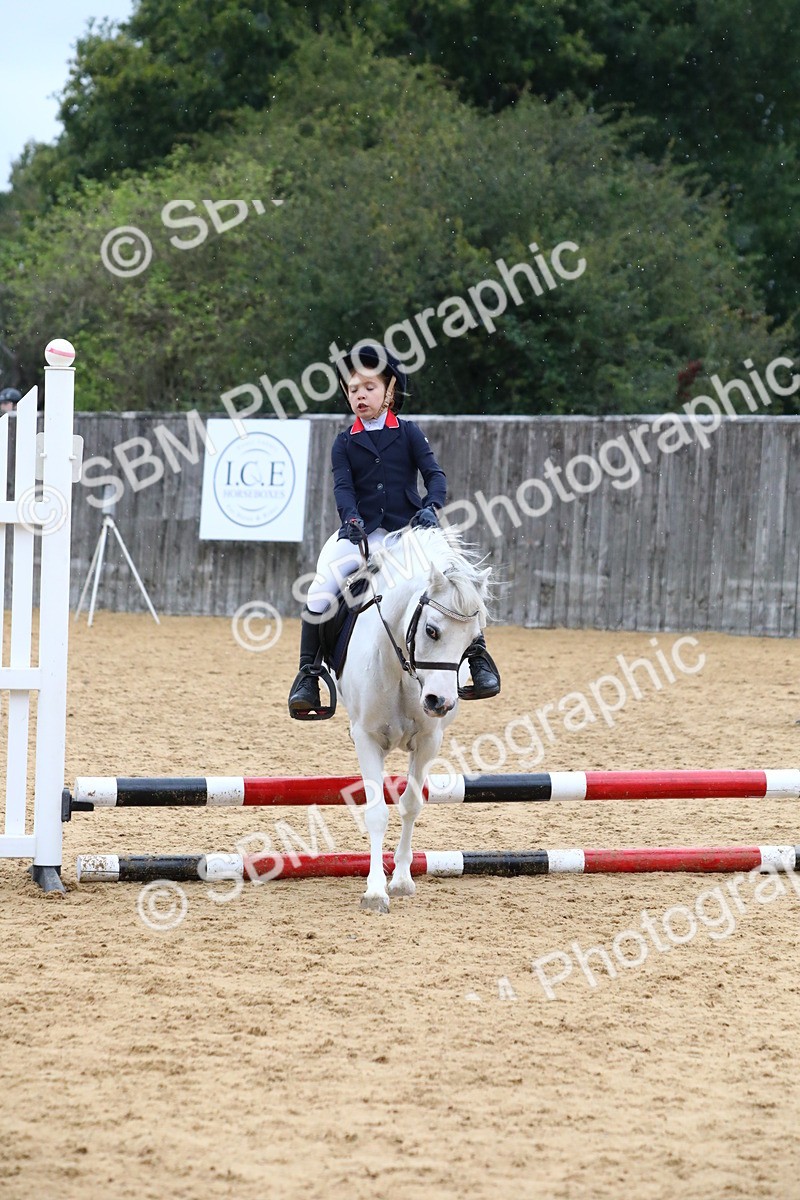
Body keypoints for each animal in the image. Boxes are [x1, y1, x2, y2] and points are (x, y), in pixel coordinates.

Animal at [335, 525, 493, 913]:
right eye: (432, 630)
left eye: (473, 639)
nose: (439, 702)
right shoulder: (366, 739)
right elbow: (377, 813)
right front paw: (375, 891)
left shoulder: (427, 744)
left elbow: (410, 805)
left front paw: (402, 880)